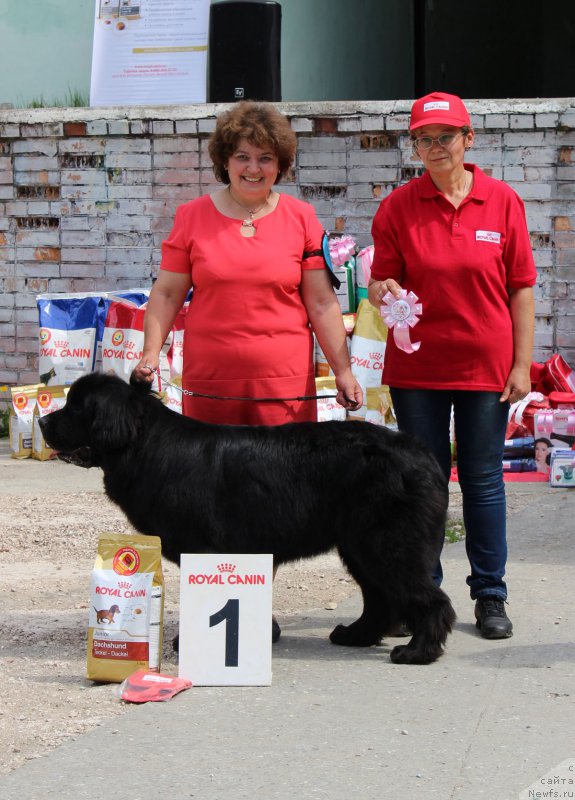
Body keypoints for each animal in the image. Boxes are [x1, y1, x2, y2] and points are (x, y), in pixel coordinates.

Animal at [39, 374, 454, 664]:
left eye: (77, 408)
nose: (42, 423)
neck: (143, 444)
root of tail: (422, 453)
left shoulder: (201, 550)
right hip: (358, 545)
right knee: (378, 597)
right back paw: (355, 635)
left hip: (386, 542)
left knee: (427, 598)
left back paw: (418, 652)